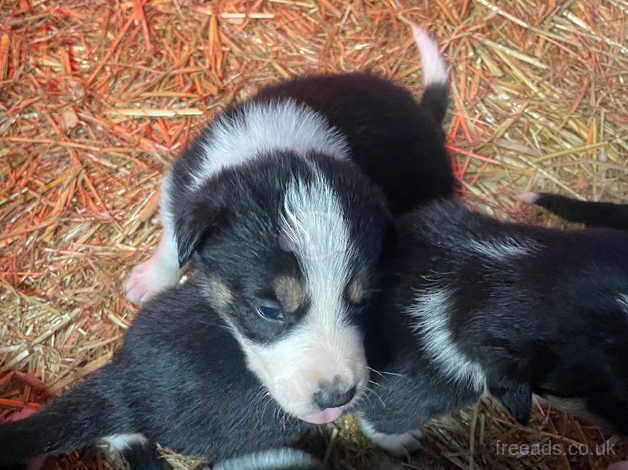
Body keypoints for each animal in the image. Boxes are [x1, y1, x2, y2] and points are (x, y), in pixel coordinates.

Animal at [121, 26, 452, 430]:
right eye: (269, 310)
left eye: (362, 300)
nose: (336, 398)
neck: (277, 151)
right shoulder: (181, 187)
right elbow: (171, 241)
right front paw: (146, 282)